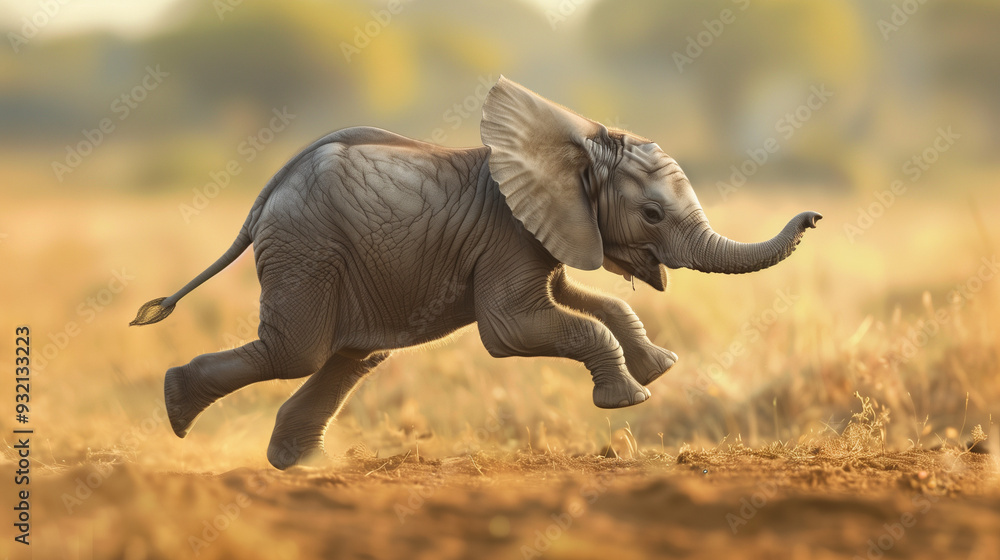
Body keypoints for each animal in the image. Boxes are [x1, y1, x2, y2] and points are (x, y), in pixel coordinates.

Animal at [131, 76, 821, 469]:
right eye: (651, 214)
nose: (814, 216)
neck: (572, 147)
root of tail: (265, 197)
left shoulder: (548, 228)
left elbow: (583, 298)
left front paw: (659, 368)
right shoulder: (508, 234)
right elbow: (511, 331)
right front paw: (632, 398)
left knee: (354, 355)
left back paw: (302, 466)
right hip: (305, 247)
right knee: (297, 352)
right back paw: (177, 406)